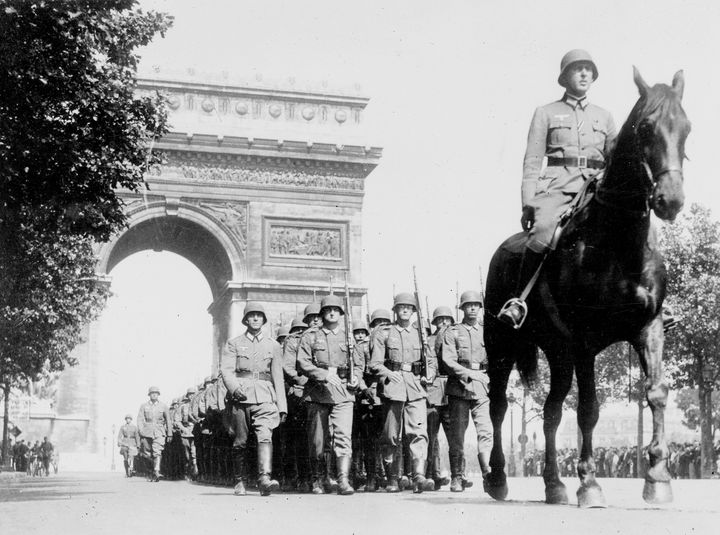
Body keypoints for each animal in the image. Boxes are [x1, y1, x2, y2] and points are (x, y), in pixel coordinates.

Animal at [484, 69, 692, 508]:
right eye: (646, 128)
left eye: (686, 128)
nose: (671, 201)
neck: (619, 244)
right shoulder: (585, 341)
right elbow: (589, 410)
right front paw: (590, 483)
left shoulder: (648, 329)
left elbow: (656, 392)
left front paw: (657, 476)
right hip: (502, 346)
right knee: (497, 406)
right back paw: (497, 478)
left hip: (558, 354)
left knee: (550, 412)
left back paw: (553, 484)